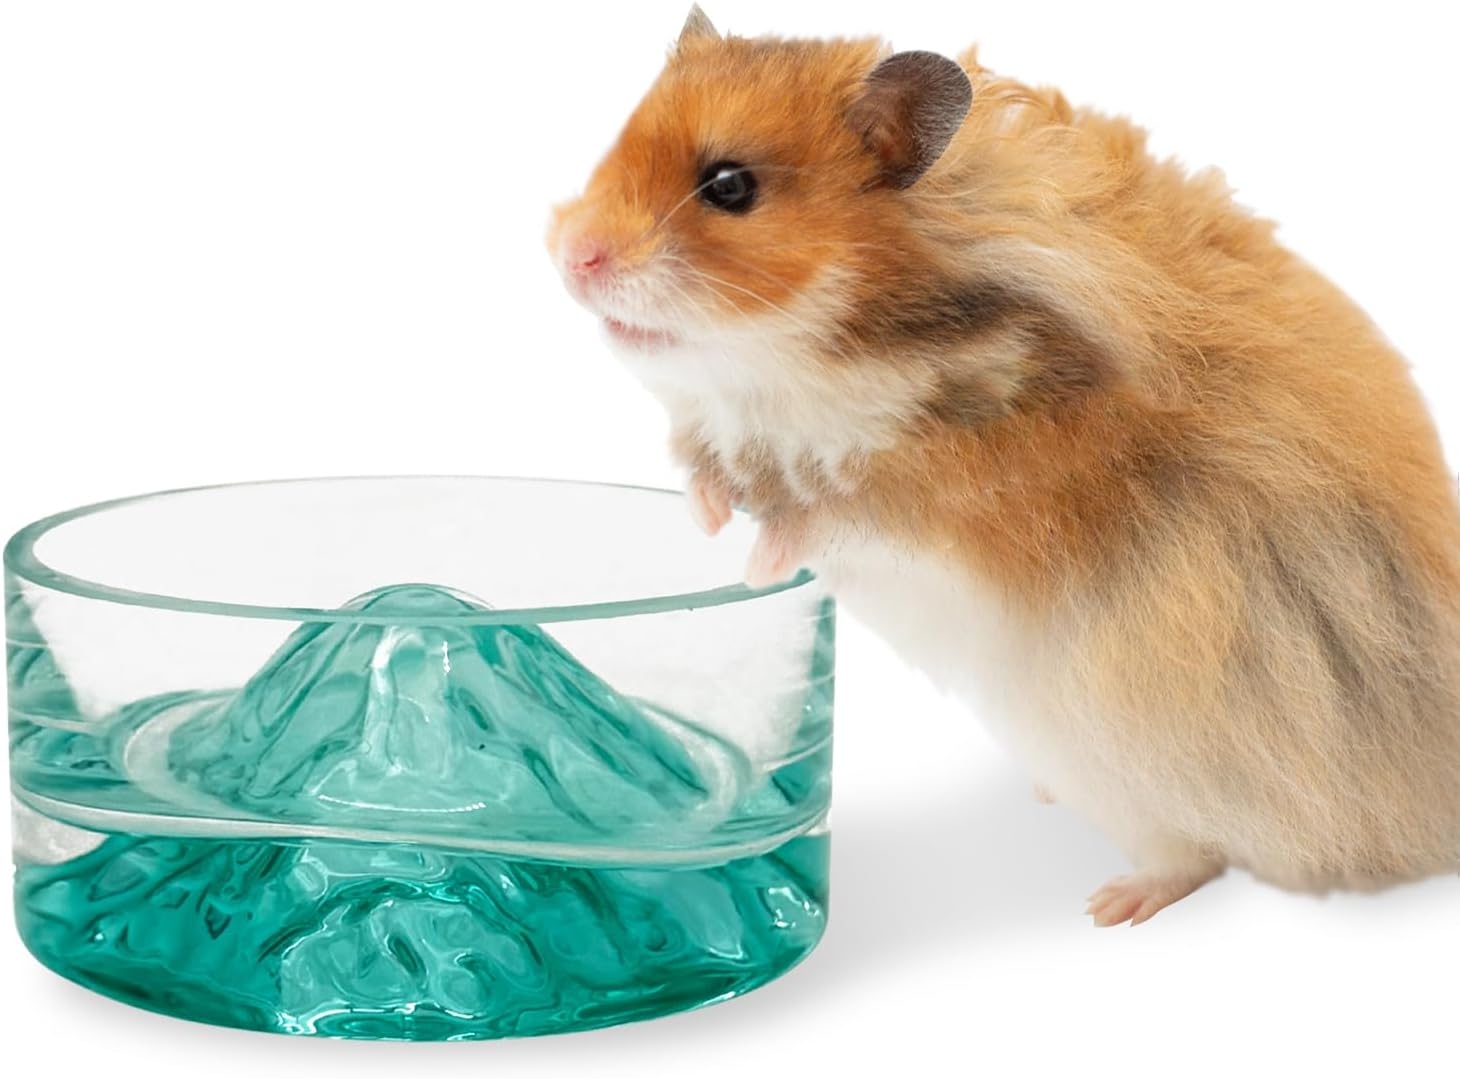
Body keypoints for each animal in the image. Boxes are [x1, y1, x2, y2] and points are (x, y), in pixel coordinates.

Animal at [547, 6, 1460, 925]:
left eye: (730, 186)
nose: (571, 255)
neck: (814, 356)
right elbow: (714, 472)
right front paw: (704, 515)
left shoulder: (973, 497)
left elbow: (839, 512)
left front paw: (757, 562)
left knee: (1193, 852)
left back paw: (1112, 905)